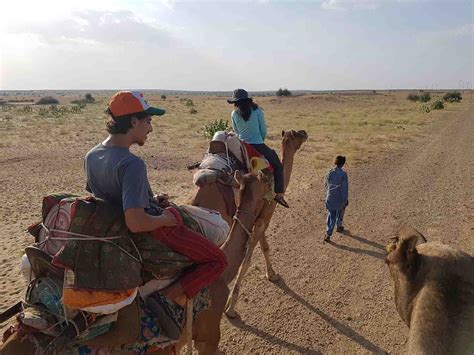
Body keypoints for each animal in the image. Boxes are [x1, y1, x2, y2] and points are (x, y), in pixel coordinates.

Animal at [187, 129, 310, 318]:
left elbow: (263, 245)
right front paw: (231, 307)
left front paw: (272, 275)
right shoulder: (266, 212)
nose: (304, 133)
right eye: (296, 134)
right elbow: (255, 253)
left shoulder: (257, 216)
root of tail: (197, 198)